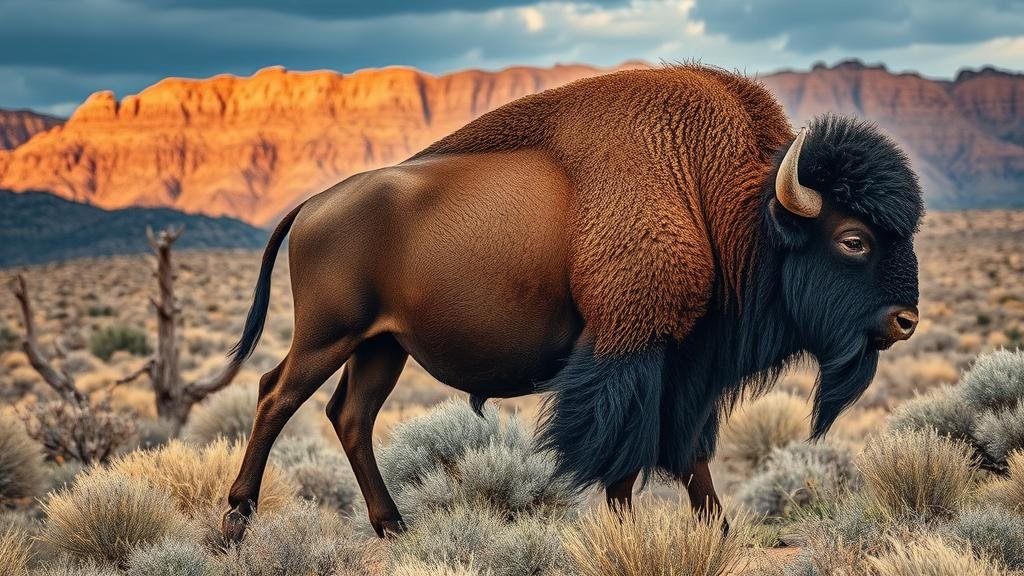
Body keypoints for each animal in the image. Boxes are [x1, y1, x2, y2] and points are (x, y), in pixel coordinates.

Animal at [220, 63, 925, 537]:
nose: (905, 321)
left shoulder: (689, 364)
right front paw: (626, 528)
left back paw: (393, 526)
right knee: (276, 395)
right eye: (854, 239)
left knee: (350, 416)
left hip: (382, 348)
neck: (720, 204)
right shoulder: (630, 348)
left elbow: (689, 450)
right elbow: (623, 453)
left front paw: (717, 530)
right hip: (328, 337)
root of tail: (312, 205)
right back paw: (236, 521)